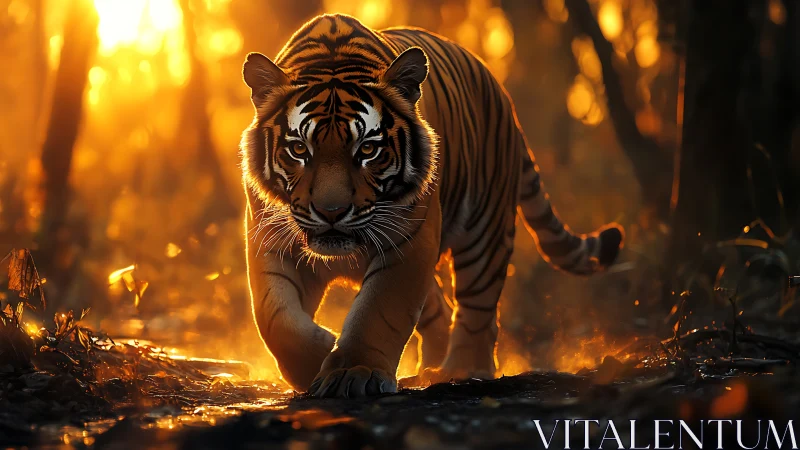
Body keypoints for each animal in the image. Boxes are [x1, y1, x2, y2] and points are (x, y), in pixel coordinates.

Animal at [241, 13, 623, 398]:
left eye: (367, 150)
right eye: (299, 150)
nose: (331, 212)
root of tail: (503, 97)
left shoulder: (408, 241)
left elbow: (379, 311)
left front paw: (353, 372)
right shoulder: (270, 240)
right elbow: (274, 317)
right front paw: (316, 358)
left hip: (484, 233)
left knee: (477, 310)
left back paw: (461, 370)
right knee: (439, 308)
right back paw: (429, 368)